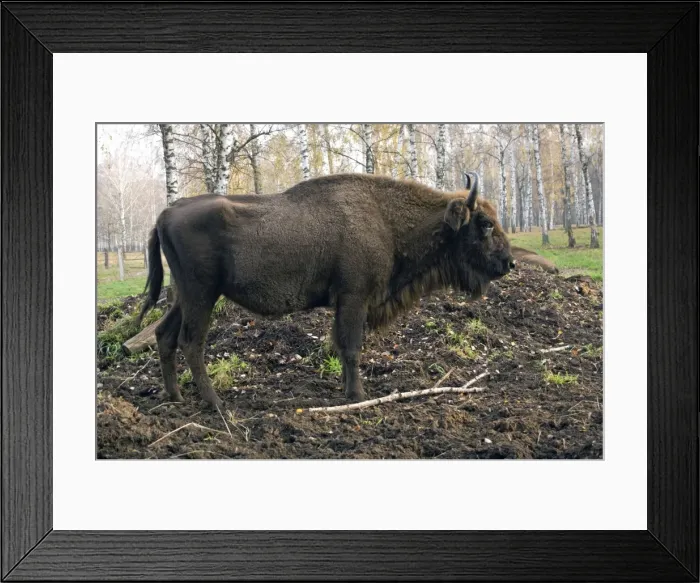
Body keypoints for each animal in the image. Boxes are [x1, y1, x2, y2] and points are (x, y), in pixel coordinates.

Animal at [138, 172, 514, 409]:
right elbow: (352, 347)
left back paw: (175, 397)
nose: (509, 263)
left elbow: (341, 345)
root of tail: (165, 213)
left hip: (184, 297)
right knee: (191, 342)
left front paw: (346, 390)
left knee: (164, 335)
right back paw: (215, 402)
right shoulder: (354, 298)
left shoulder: (346, 303)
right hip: (202, 295)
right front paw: (358, 395)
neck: (384, 218)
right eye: (485, 224)